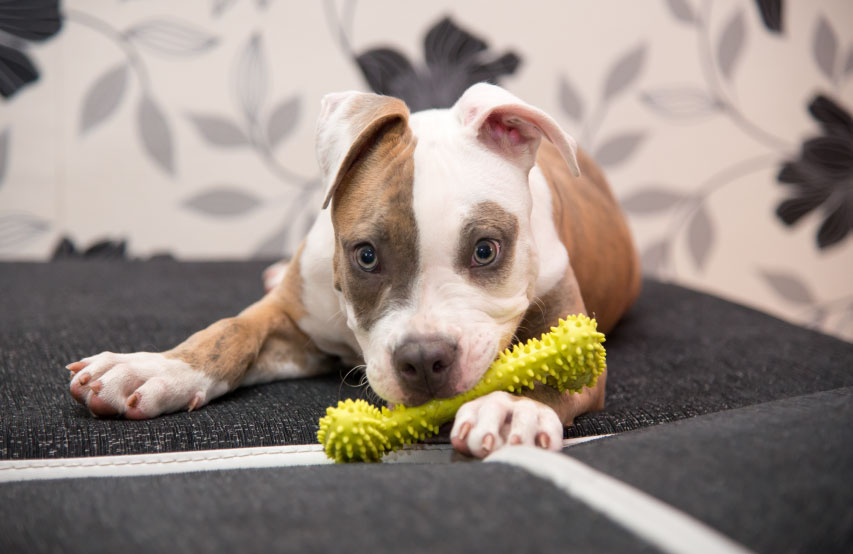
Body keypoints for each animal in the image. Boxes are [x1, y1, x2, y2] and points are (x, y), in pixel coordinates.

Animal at [68, 83, 640, 458]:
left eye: (485, 250)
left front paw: (512, 408)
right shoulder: (292, 319)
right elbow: (230, 331)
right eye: (365, 255)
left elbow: (553, 370)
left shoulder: (575, 336)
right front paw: (157, 368)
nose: (424, 359)